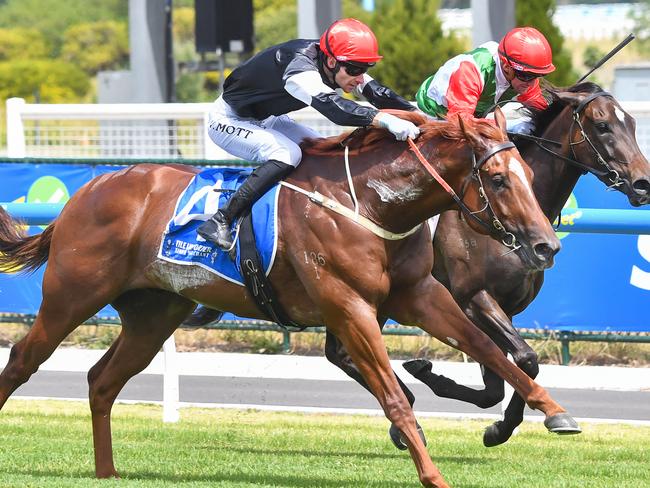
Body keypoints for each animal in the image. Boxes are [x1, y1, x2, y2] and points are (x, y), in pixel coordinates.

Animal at [0, 108, 568, 486]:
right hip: (71, 296)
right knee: (22, 362)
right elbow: (392, 396)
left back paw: (108, 471)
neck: (370, 201)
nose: (547, 246)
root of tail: (86, 192)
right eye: (497, 178)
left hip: (154, 314)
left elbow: (495, 352)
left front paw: (554, 411)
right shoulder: (349, 308)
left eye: (526, 174)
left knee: (102, 381)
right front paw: (432, 473)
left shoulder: (422, 296)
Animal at [326, 81, 648, 450]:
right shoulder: (473, 297)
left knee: (338, 353)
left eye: (633, 125)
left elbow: (500, 377)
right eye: (602, 125)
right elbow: (525, 359)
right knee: (342, 353)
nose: (643, 183)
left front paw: (497, 424)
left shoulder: (506, 306)